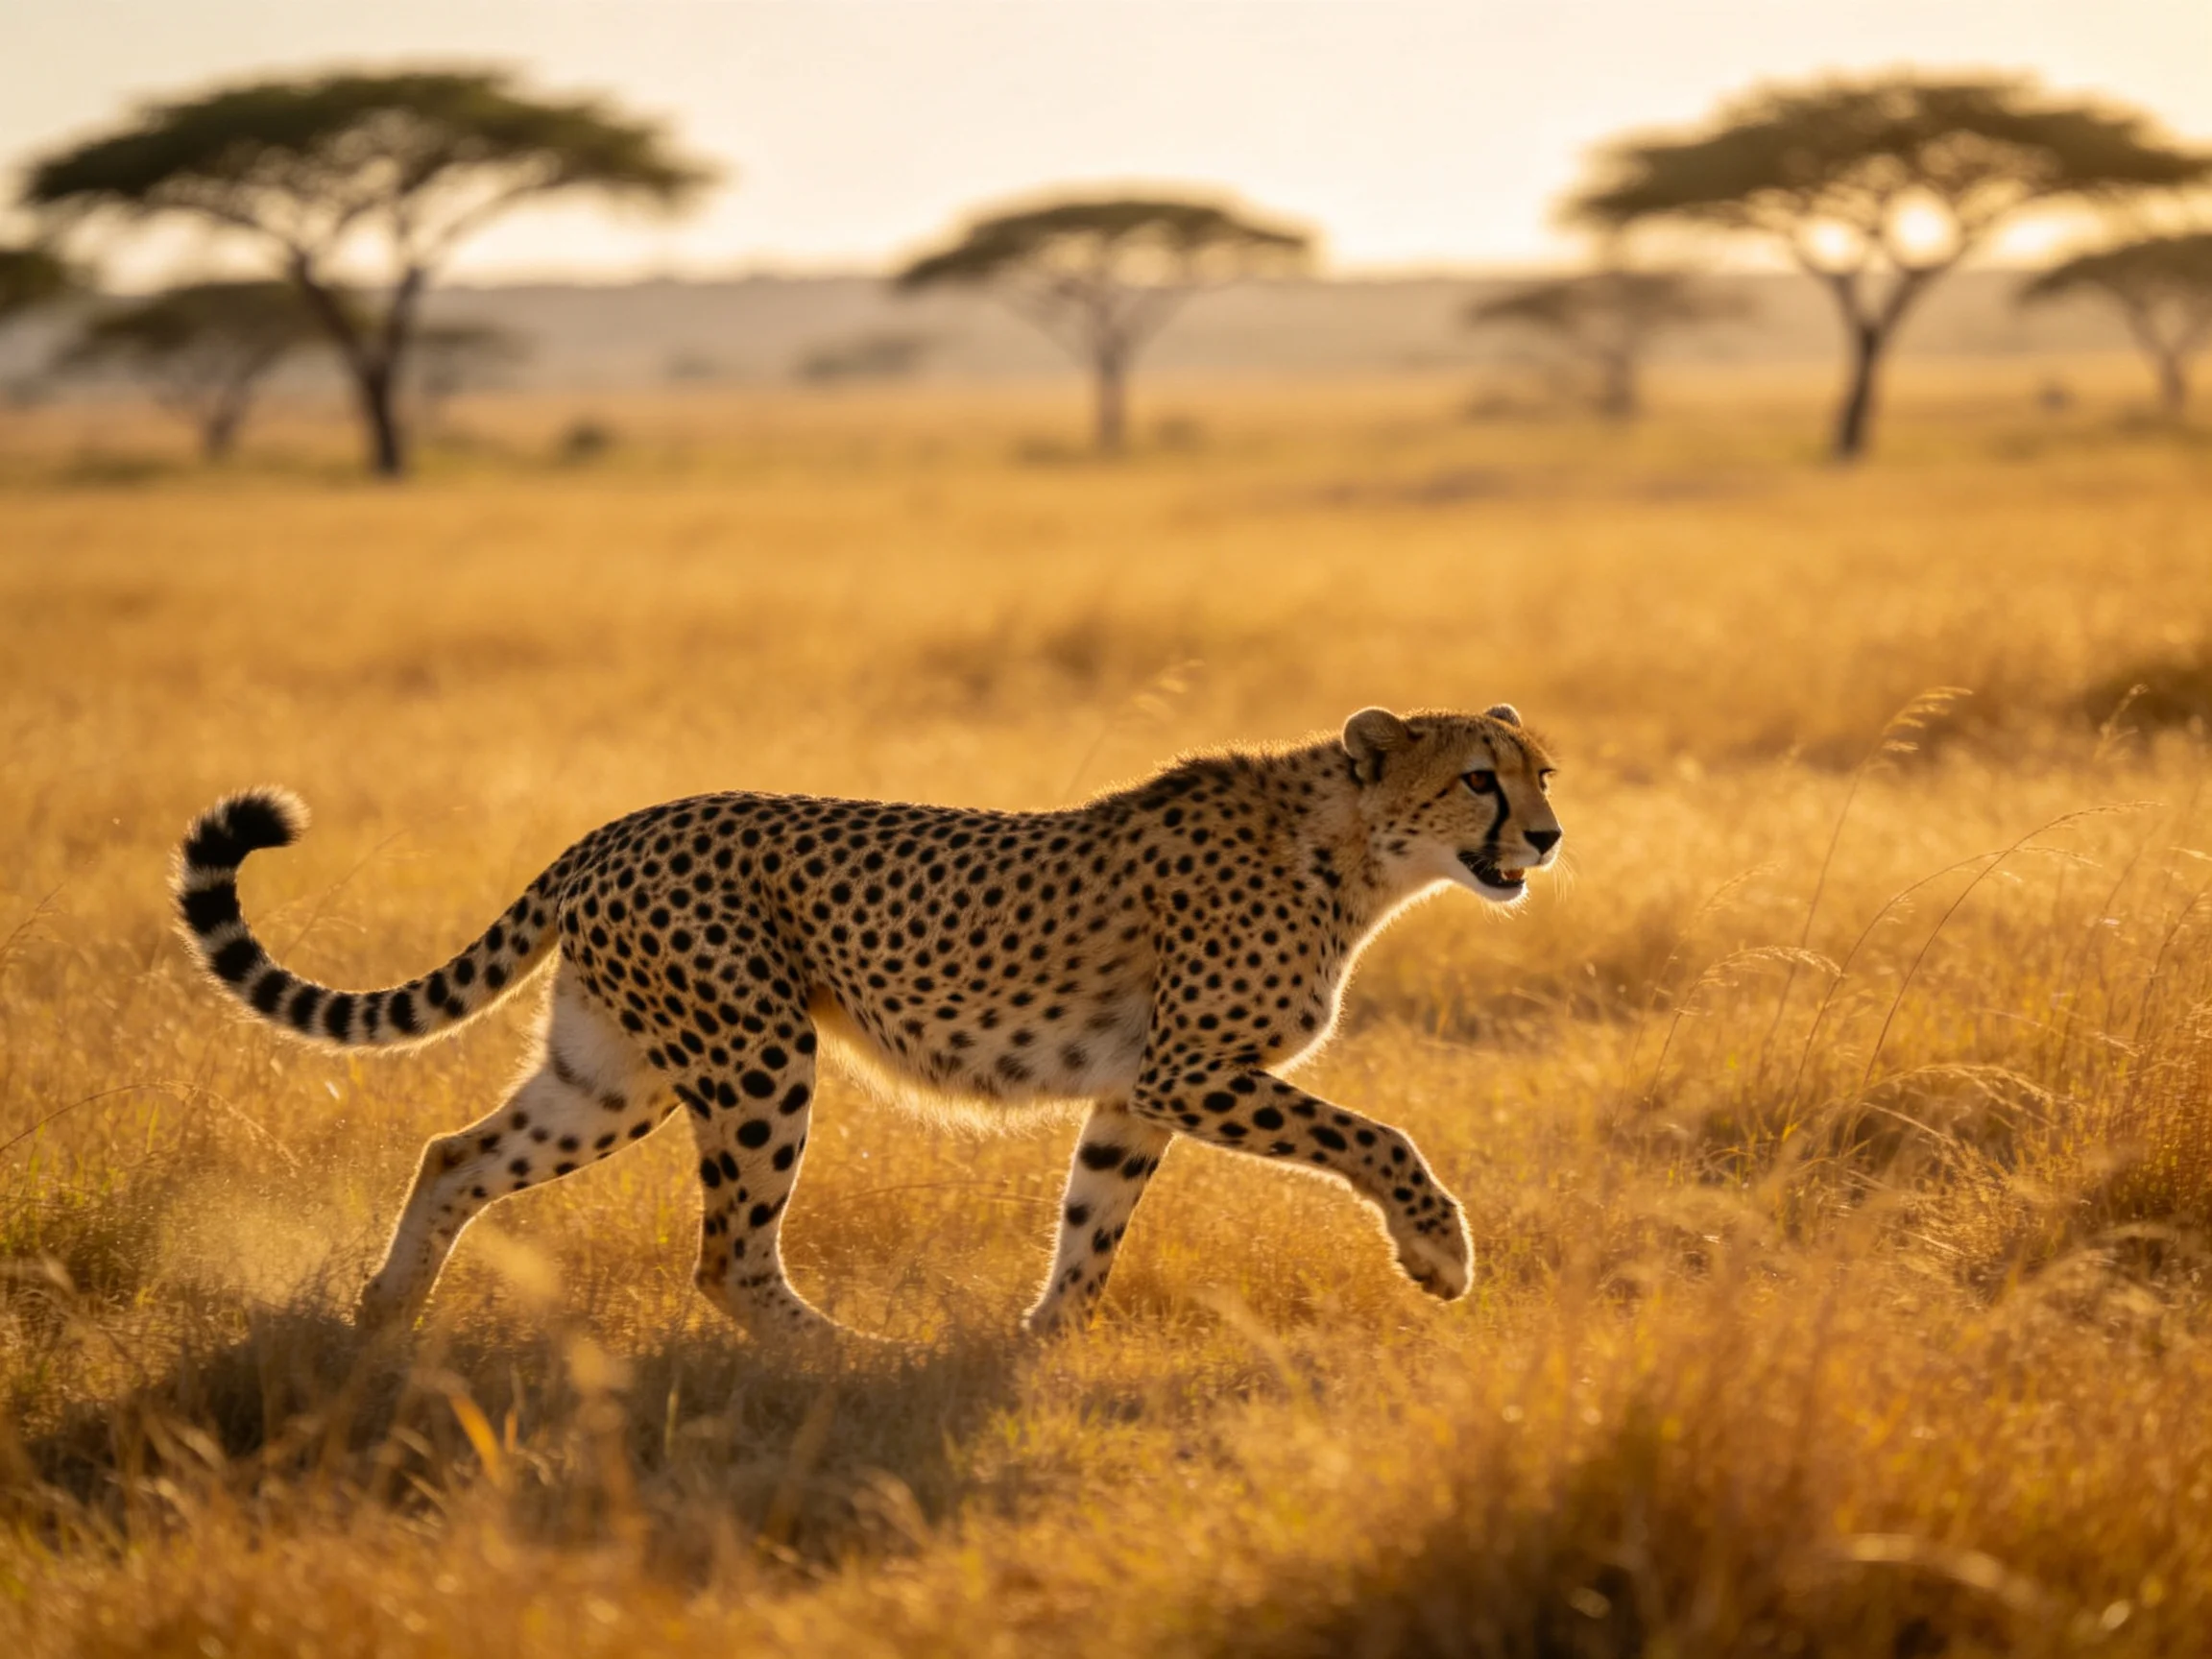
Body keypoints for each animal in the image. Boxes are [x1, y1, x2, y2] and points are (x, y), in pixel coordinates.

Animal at [172, 704, 1562, 1339]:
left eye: (1541, 771)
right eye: (1477, 780)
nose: (1548, 838)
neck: (1354, 850)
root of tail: (619, 826)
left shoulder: (1134, 1089)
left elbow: (1093, 1220)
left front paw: (1042, 1344)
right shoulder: (1188, 1068)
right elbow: (1380, 1138)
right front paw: (1440, 1257)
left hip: (610, 1074)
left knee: (455, 1153)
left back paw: (383, 1320)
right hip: (754, 1054)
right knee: (728, 1258)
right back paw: (845, 1354)